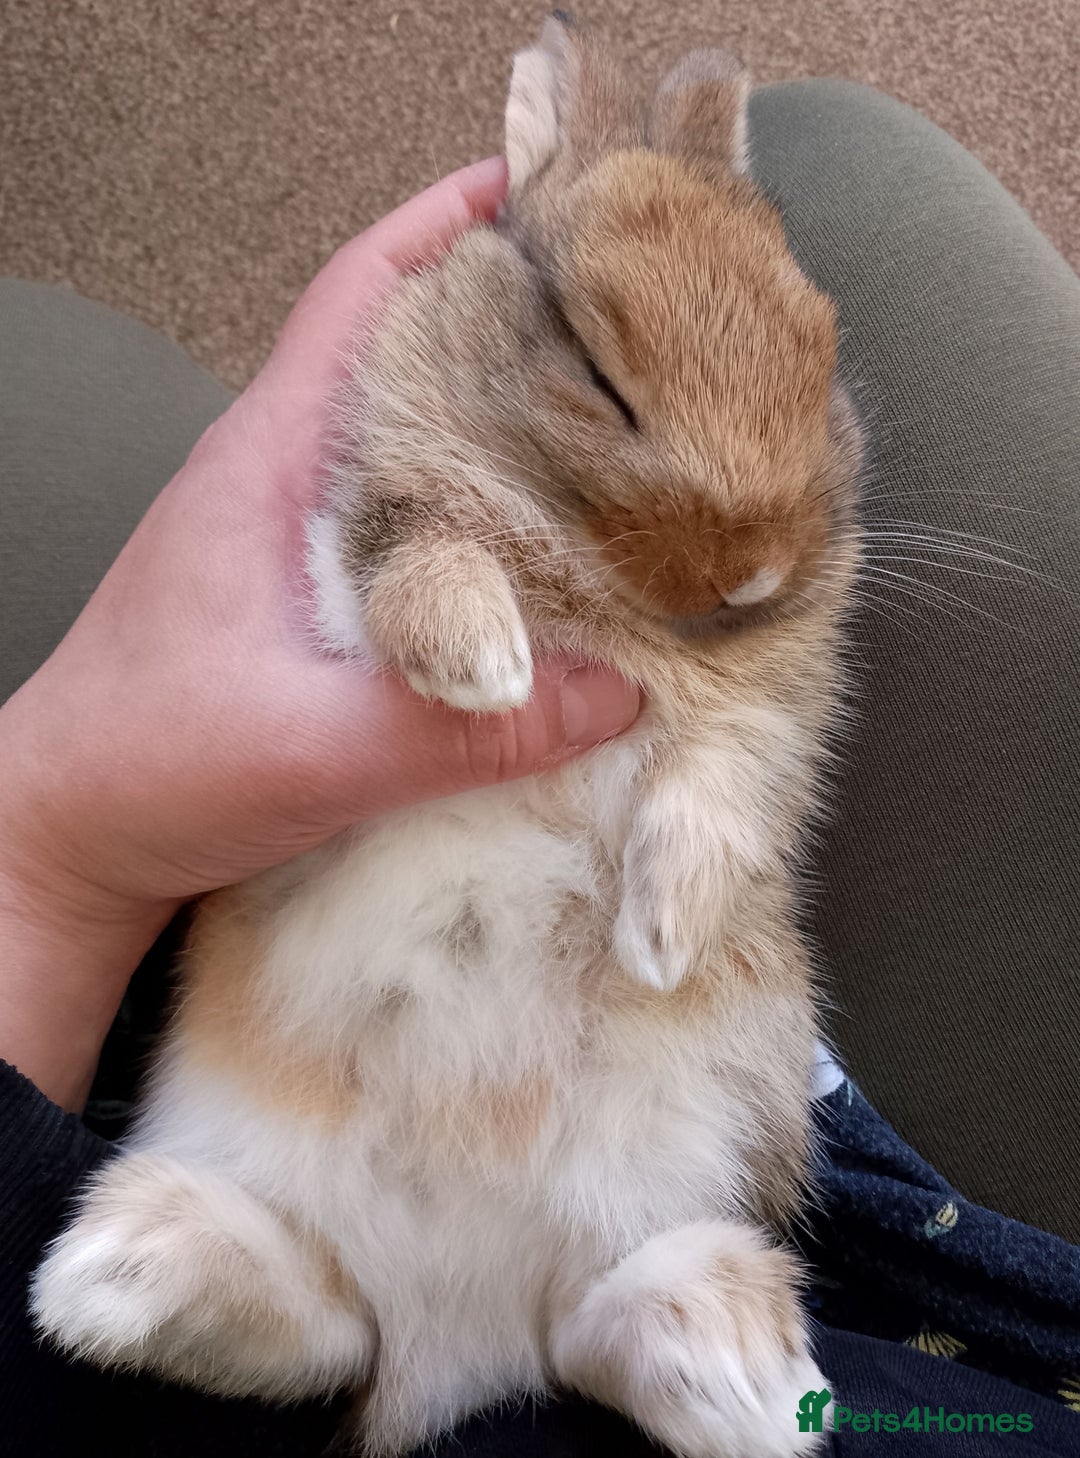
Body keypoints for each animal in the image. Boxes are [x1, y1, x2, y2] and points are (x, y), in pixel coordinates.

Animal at [32, 15, 863, 1458]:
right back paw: (114, 1275)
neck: (612, 599)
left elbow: (717, 793)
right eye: (595, 370)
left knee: (580, 1326)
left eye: (819, 357)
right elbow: (420, 553)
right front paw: (487, 672)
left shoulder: (769, 730)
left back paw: (742, 1376)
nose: (756, 570)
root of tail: (453, 1342)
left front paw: (661, 935)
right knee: (331, 1327)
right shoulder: (356, 546)